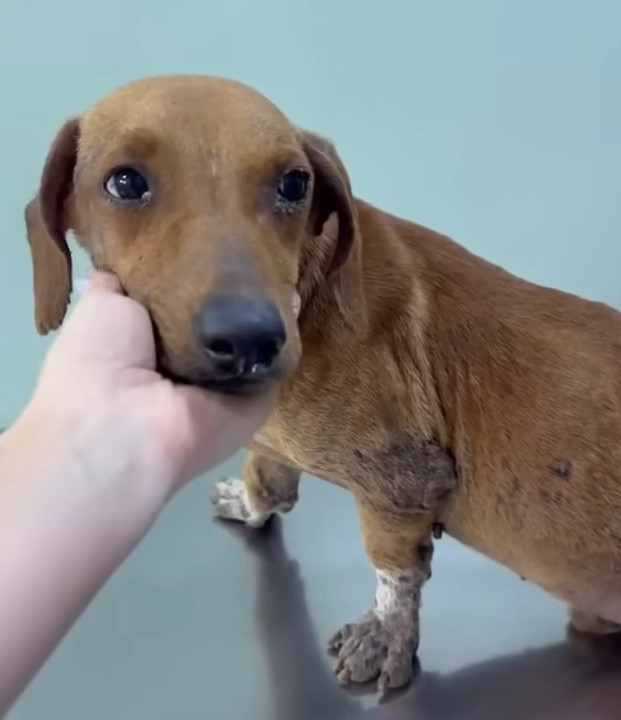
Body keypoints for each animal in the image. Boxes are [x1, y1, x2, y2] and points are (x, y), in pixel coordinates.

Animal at [23, 74, 620, 692]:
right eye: (125, 181)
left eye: (294, 183)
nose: (251, 340)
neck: (311, 293)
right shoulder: (271, 444)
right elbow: (267, 483)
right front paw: (250, 503)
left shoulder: (404, 480)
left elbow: (395, 572)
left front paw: (386, 637)